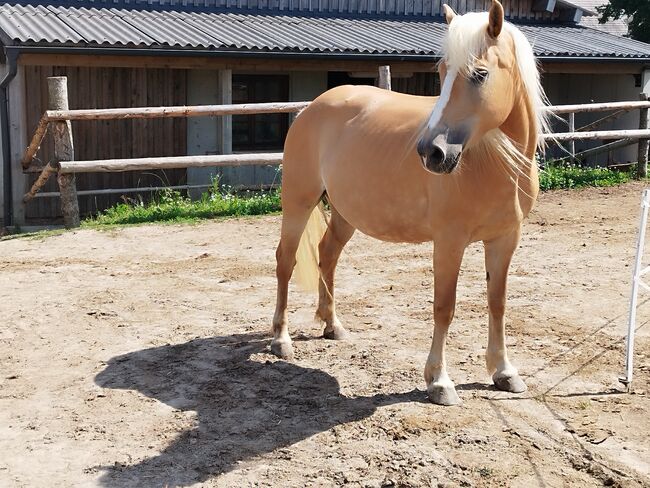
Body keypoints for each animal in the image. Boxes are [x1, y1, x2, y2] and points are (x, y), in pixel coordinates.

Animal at [268, 0, 548, 404]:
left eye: (480, 74)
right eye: (444, 72)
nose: (431, 153)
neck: (493, 161)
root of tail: (313, 107)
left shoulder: (505, 238)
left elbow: (498, 302)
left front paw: (504, 372)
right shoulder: (449, 242)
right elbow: (444, 307)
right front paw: (439, 381)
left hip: (346, 212)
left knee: (327, 254)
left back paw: (333, 326)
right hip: (298, 202)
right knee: (285, 261)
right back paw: (281, 339)